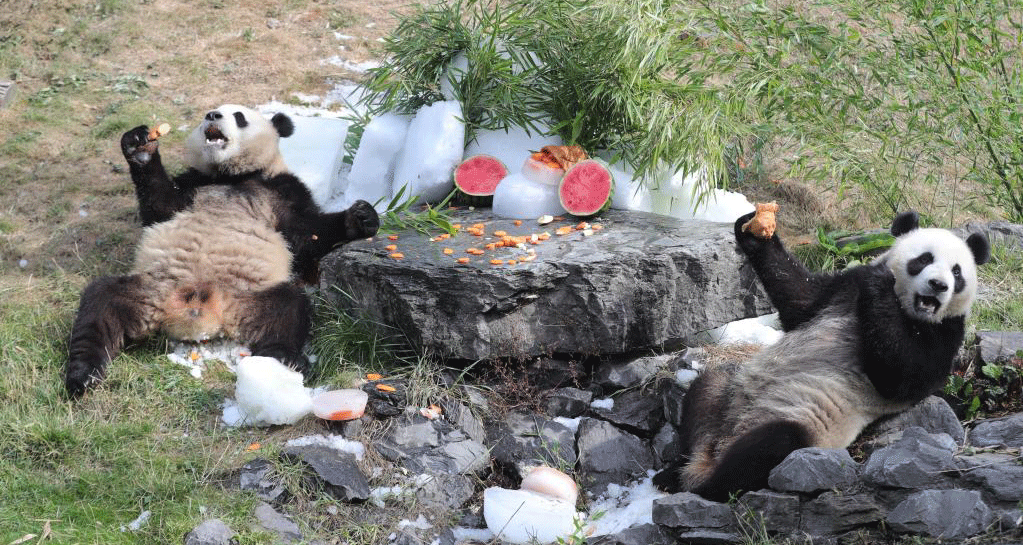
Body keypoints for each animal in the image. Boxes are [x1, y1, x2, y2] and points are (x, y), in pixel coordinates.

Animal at [65, 104, 382, 396]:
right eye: (209, 112)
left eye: (239, 117)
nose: (213, 116)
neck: (229, 176)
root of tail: (201, 312)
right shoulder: (192, 184)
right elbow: (161, 206)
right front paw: (140, 147)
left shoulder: (281, 188)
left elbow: (305, 233)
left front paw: (360, 218)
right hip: (151, 290)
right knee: (100, 305)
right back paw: (83, 375)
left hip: (249, 297)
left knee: (289, 309)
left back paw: (285, 359)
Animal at [654, 209, 990, 501]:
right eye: (924, 259)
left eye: (957, 271)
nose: (938, 285)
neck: (908, 309)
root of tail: (720, 446)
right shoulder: (841, 289)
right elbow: (801, 301)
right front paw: (754, 231)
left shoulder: (945, 332)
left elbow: (903, 376)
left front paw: (880, 284)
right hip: (729, 395)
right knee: (705, 393)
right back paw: (675, 471)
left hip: (804, 423)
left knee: (771, 444)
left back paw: (705, 485)